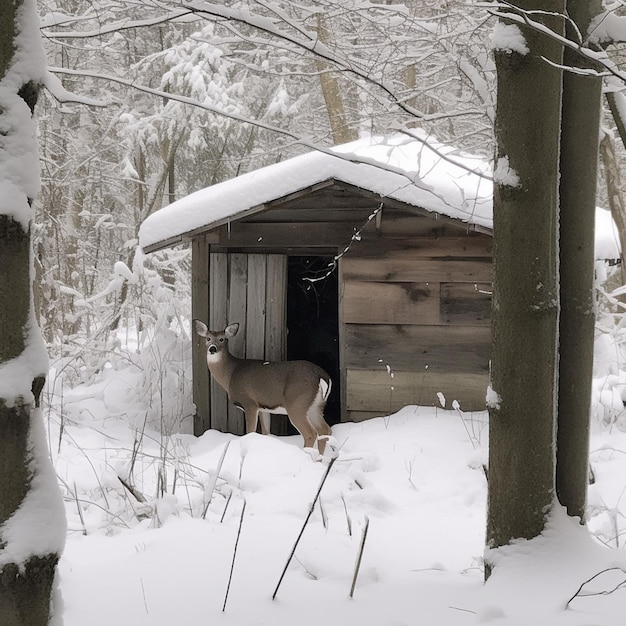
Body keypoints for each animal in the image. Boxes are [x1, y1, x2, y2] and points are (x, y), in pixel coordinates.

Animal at [194, 320, 332, 456]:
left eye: (222, 339)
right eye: (208, 338)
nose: (212, 348)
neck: (231, 374)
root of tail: (322, 376)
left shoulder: (249, 403)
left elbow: (250, 432)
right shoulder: (263, 408)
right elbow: (266, 432)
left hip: (297, 403)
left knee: (311, 433)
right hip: (315, 406)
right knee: (325, 430)